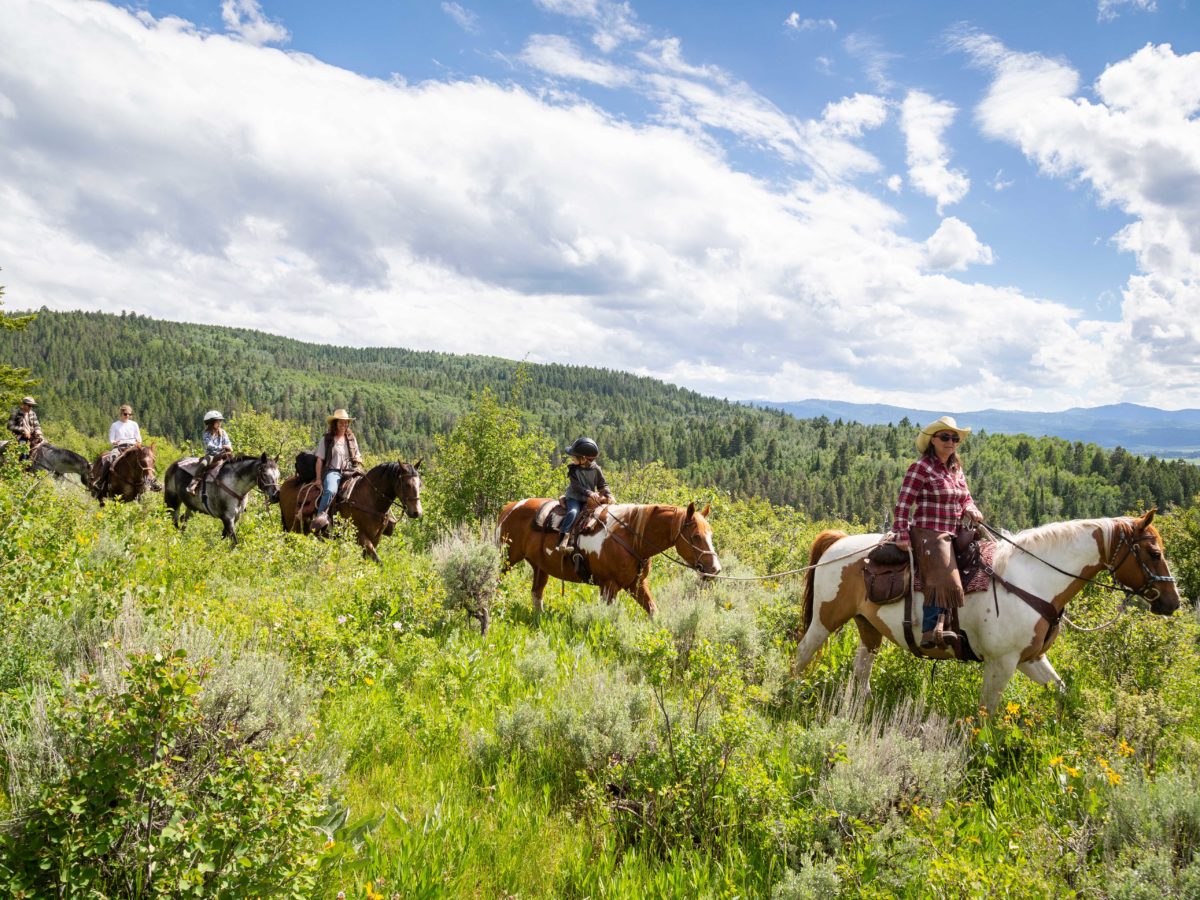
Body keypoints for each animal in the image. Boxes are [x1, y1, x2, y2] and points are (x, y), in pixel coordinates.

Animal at [276, 465, 422, 564]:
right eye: (407, 484)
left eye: (420, 484)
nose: (417, 512)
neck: (369, 498)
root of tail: (284, 485)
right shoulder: (360, 536)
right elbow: (377, 560)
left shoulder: (376, 538)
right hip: (293, 529)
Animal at [496, 501, 720, 619]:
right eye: (696, 536)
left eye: (710, 534)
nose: (715, 569)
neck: (632, 540)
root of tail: (509, 508)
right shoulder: (608, 586)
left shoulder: (637, 584)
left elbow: (653, 611)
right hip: (505, 560)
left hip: (539, 567)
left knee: (537, 593)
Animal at [796, 513, 1180, 710]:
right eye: (1155, 553)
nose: (1172, 601)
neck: (1032, 579)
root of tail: (839, 542)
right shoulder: (1002, 662)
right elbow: (987, 713)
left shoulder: (1031, 658)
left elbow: (1060, 690)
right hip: (826, 619)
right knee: (803, 652)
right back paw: (791, 692)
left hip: (868, 626)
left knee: (862, 668)